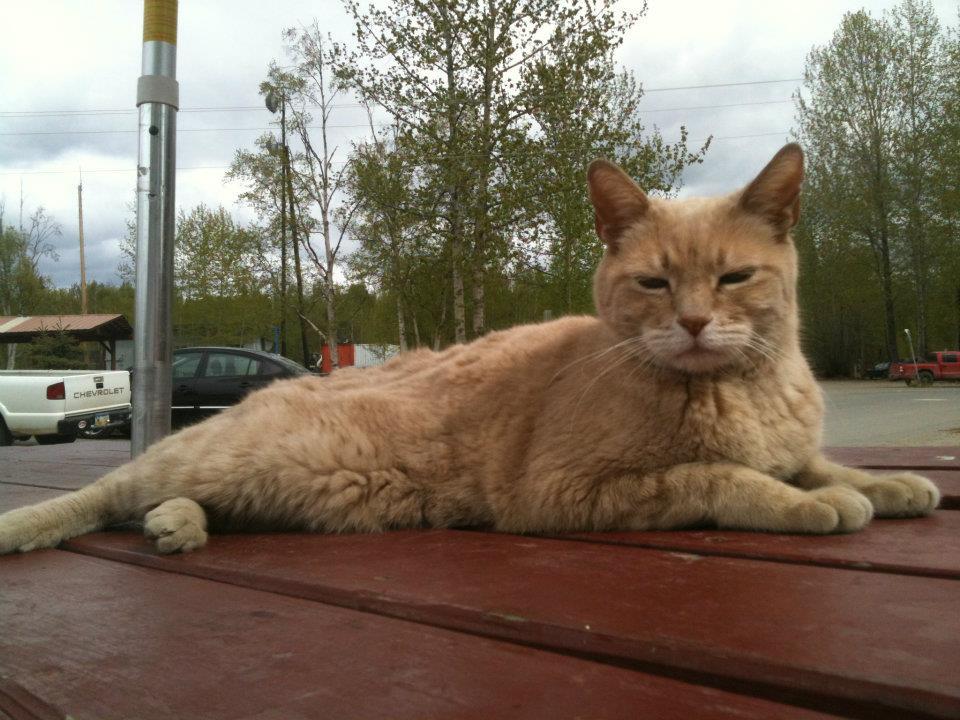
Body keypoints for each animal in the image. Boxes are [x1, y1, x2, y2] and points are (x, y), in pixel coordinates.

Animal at [0, 143, 936, 556]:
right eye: (655, 284)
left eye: (734, 276)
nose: (699, 323)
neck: (740, 390)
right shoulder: (566, 492)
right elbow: (720, 478)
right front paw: (818, 505)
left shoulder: (785, 445)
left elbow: (817, 464)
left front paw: (891, 486)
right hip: (232, 459)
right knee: (113, 491)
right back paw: (58, 524)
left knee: (169, 502)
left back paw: (178, 524)